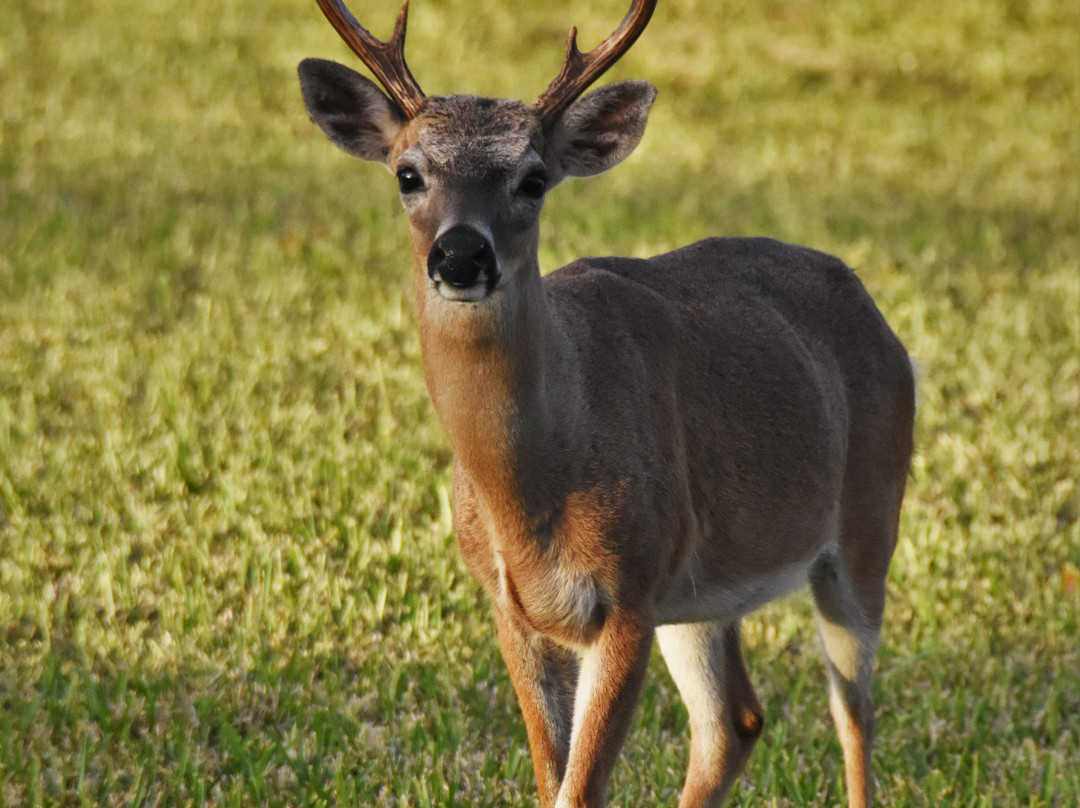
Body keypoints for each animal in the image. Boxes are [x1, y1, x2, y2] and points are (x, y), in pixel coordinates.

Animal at [295, 1, 911, 808]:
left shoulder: (627, 591)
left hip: (868, 520)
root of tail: (875, 312)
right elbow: (551, 780)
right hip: (699, 593)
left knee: (853, 710)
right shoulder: (512, 606)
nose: (461, 254)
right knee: (734, 720)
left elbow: (577, 792)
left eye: (533, 179)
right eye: (407, 173)